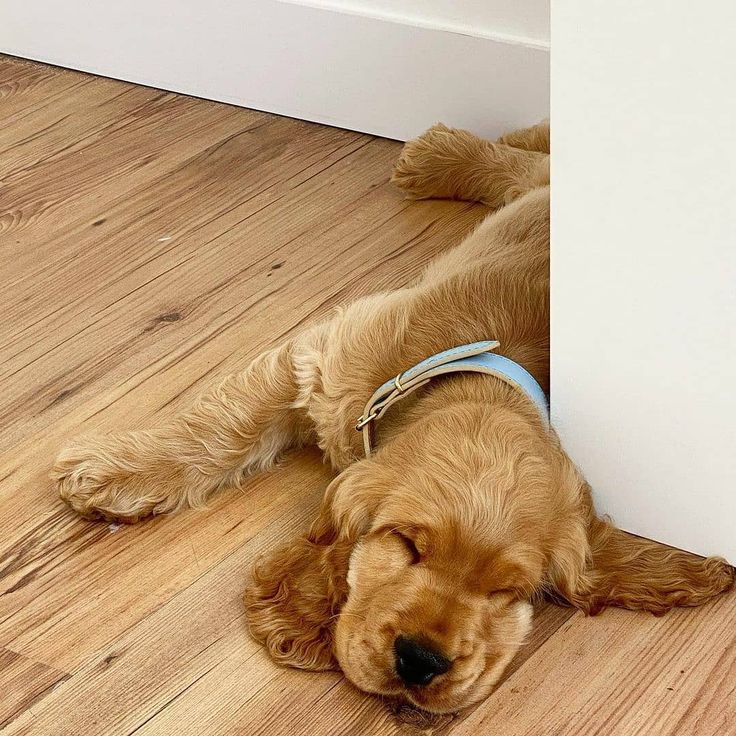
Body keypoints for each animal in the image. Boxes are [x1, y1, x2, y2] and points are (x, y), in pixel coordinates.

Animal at [51, 121, 732, 712]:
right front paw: (114, 472)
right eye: (405, 544)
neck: (477, 376)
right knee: (530, 167)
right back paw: (438, 154)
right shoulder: (318, 362)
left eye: (506, 591)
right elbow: (221, 427)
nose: (421, 662)